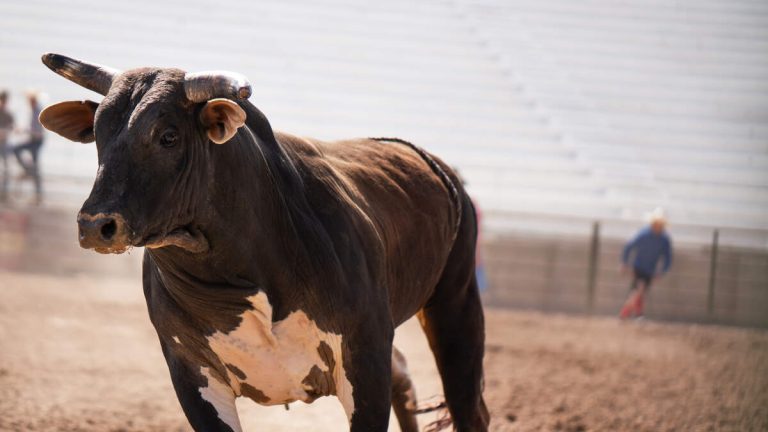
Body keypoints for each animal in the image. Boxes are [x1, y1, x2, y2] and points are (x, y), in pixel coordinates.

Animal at [39, 53, 488, 432]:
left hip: (456, 302)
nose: (95, 224)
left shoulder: (365, 359)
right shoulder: (192, 374)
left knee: (468, 406)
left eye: (168, 135)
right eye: (99, 134)